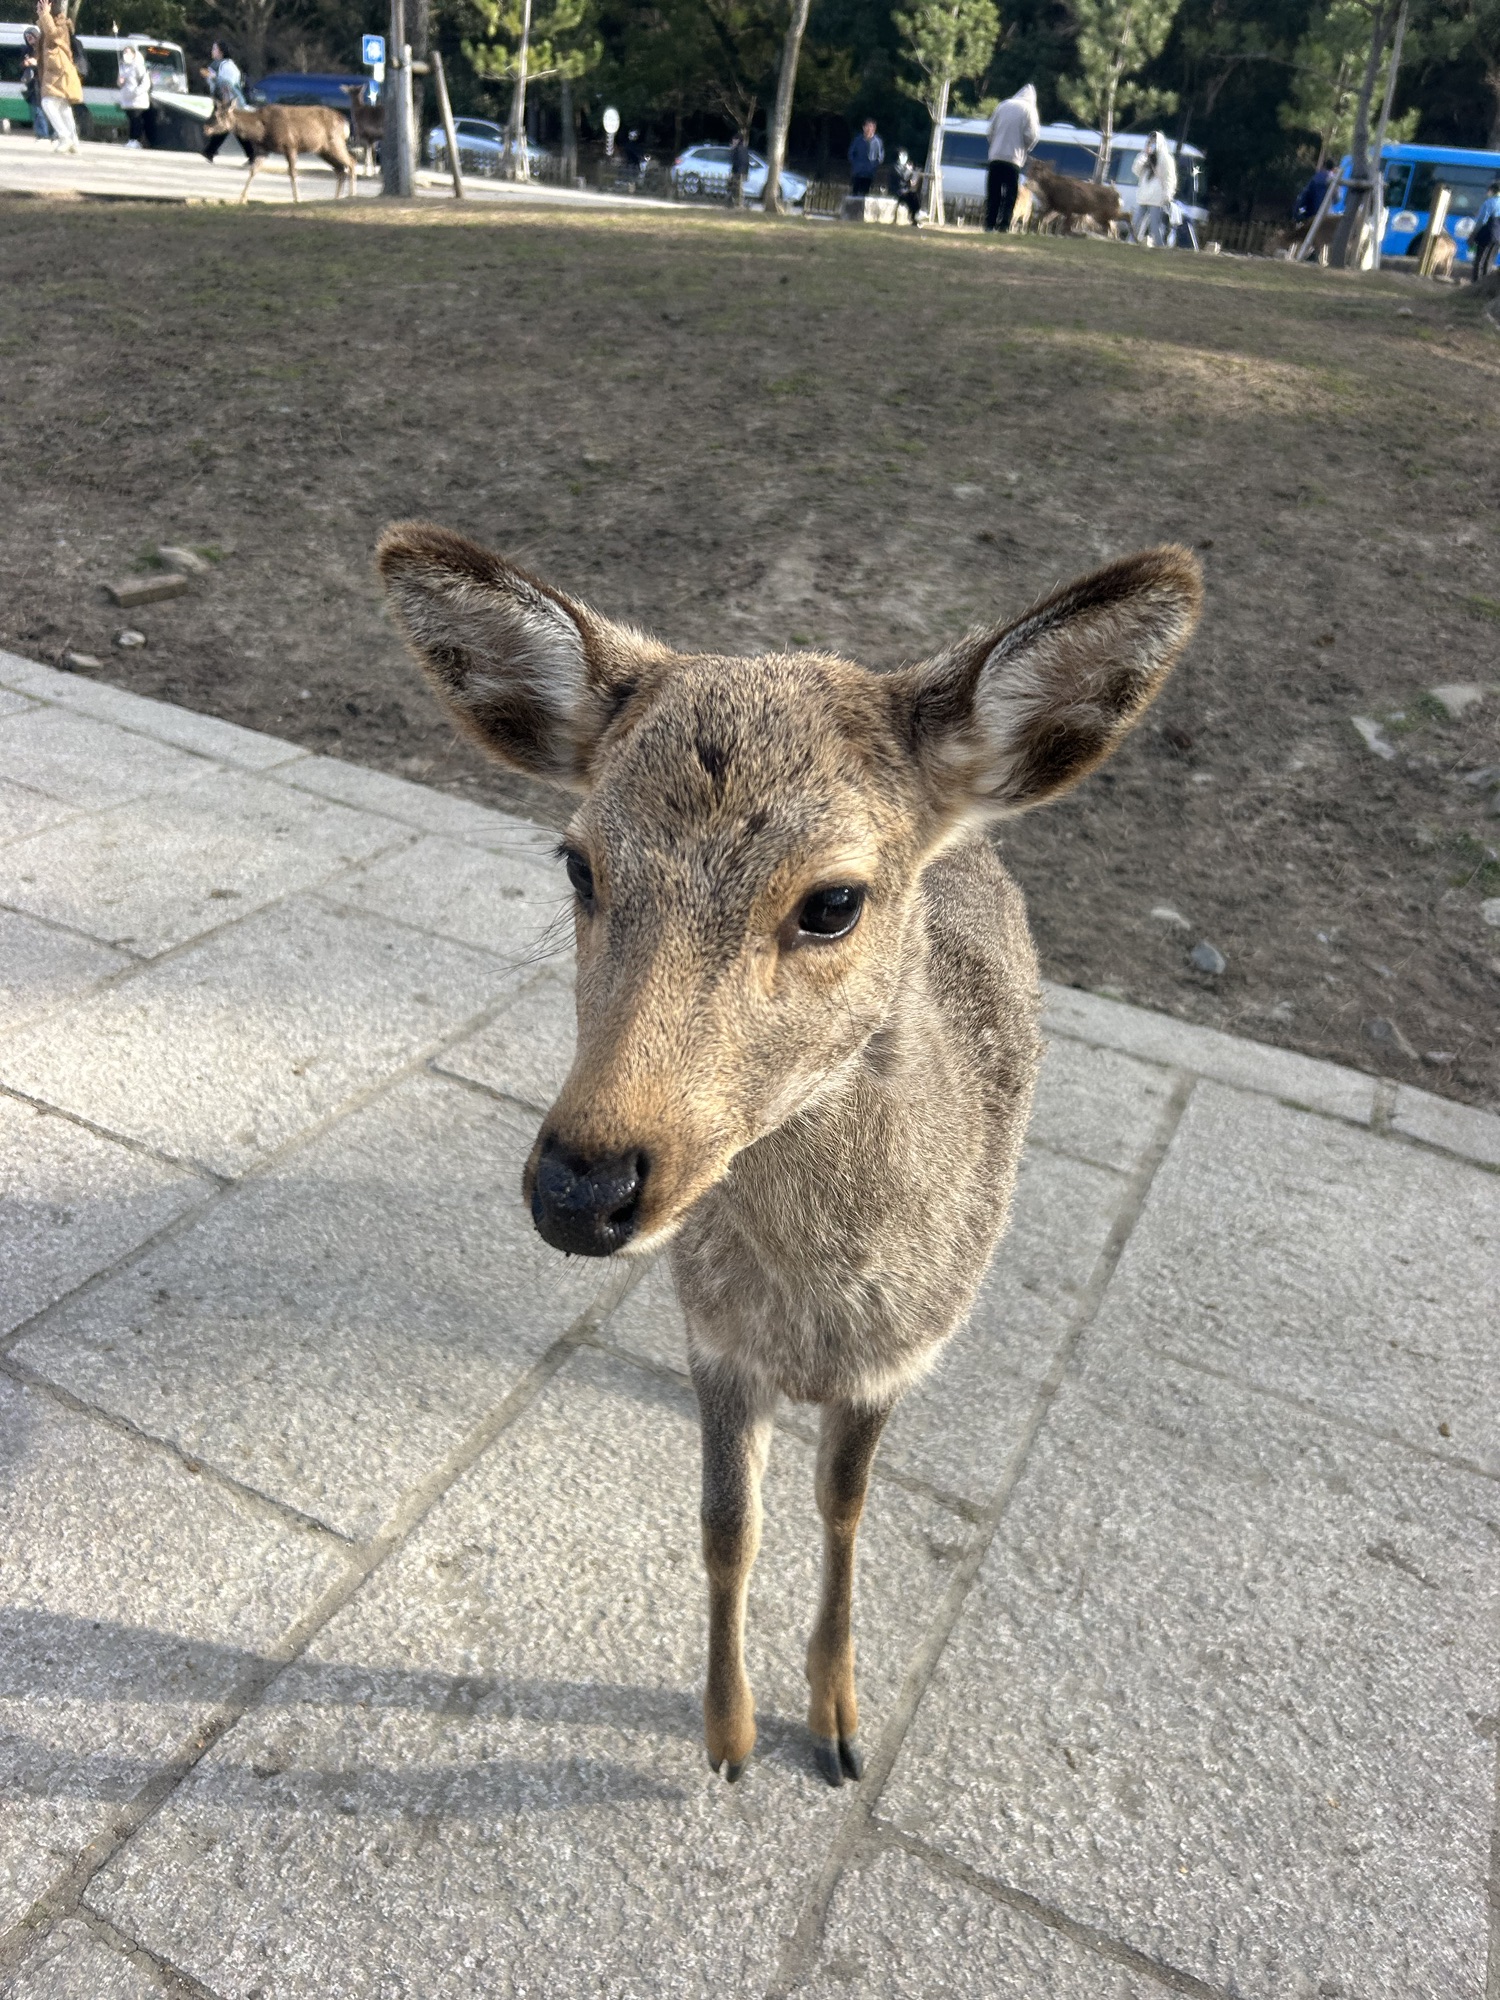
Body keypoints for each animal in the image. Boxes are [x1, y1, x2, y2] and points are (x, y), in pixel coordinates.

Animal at [201, 101, 356, 204]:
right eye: (213, 113)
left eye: (218, 116)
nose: (205, 128)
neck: (260, 131)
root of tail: (346, 123)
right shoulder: (263, 150)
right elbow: (253, 171)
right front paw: (242, 198)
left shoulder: (290, 145)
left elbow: (292, 173)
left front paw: (297, 198)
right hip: (322, 150)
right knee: (340, 169)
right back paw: (337, 197)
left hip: (335, 142)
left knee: (351, 162)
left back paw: (351, 194)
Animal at [378, 524, 1202, 1788]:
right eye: (577, 863)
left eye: (832, 901)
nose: (581, 1186)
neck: (817, 1320)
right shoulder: (719, 1340)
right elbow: (729, 1526)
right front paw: (729, 1736)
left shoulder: (896, 1360)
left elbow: (843, 1508)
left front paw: (839, 1724)